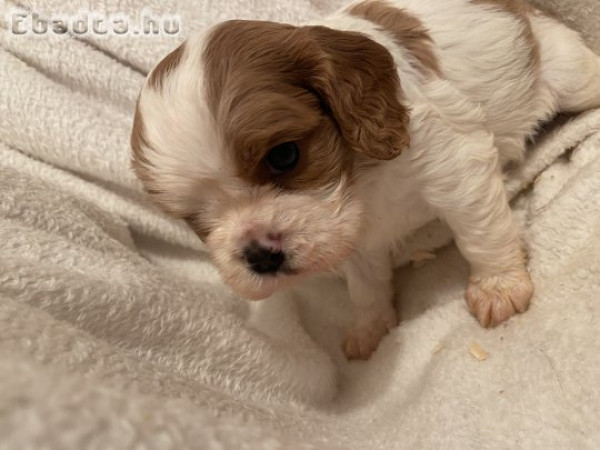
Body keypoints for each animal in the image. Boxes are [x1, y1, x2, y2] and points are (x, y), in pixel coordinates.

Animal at [131, 0, 600, 358]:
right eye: (194, 217)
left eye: (284, 155)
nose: (259, 256)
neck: (360, 179)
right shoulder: (349, 235)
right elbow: (365, 286)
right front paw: (371, 327)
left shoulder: (457, 165)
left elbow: (480, 234)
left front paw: (498, 286)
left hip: (570, 76)